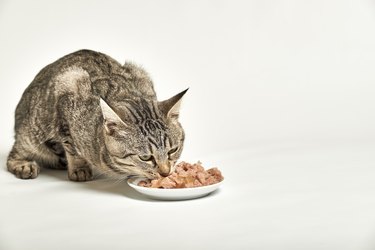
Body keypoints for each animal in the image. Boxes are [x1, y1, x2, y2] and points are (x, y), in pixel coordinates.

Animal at [6, 48, 188, 182]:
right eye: (145, 157)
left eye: (173, 150)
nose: (166, 173)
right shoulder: (67, 88)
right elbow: (70, 144)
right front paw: (79, 168)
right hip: (31, 133)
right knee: (14, 154)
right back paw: (24, 165)